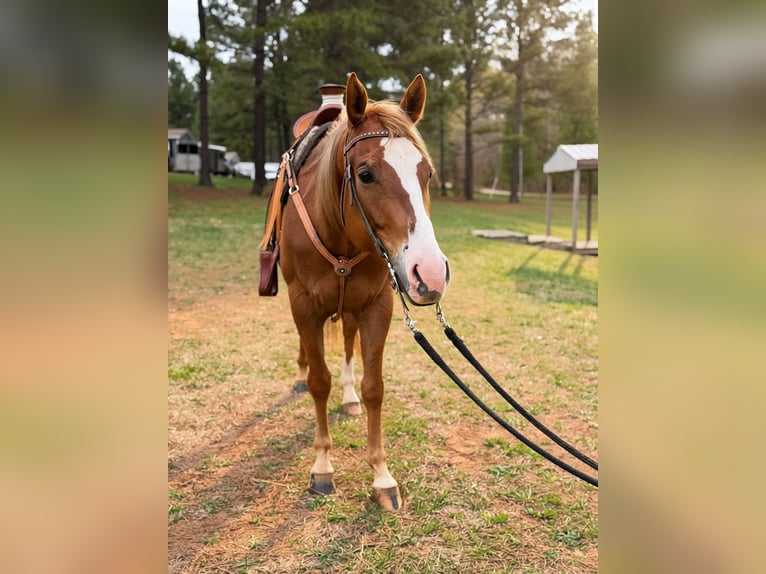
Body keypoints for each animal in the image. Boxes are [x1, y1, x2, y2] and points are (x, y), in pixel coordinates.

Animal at [263, 73, 450, 511]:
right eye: (365, 174)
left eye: (427, 173)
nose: (431, 273)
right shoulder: (304, 305)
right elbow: (320, 382)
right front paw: (322, 468)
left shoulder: (376, 306)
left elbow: (374, 387)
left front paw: (382, 475)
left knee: (347, 344)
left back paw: (348, 399)